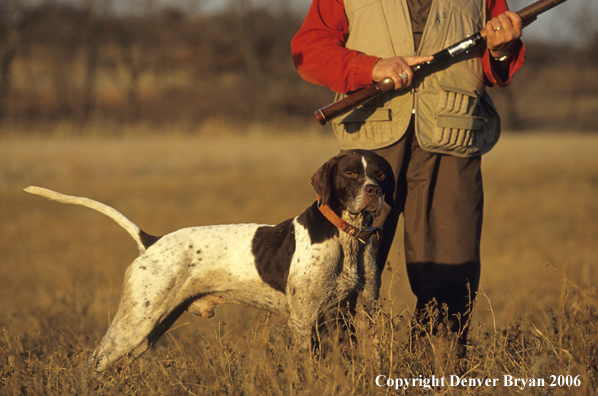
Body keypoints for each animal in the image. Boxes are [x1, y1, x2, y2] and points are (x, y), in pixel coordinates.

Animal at [25, 149, 396, 374]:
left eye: (379, 173)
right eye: (350, 173)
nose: (374, 191)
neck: (347, 237)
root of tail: (152, 241)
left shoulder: (364, 312)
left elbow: (373, 356)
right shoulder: (305, 320)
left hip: (149, 331)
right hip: (133, 325)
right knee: (93, 364)